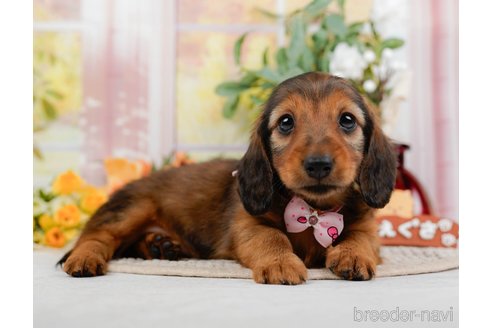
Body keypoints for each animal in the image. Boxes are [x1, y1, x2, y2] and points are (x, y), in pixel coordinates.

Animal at [58, 73, 396, 284]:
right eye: (286, 122)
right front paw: (280, 263)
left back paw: (160, 247)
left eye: (347, 120)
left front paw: (352, 256)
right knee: (96, 236)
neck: (314, 210)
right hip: (133, 208)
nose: (318, 164)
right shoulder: (247, 226)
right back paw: (86, 258)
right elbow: (272, 238)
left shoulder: (367, 228)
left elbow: (358, 238)